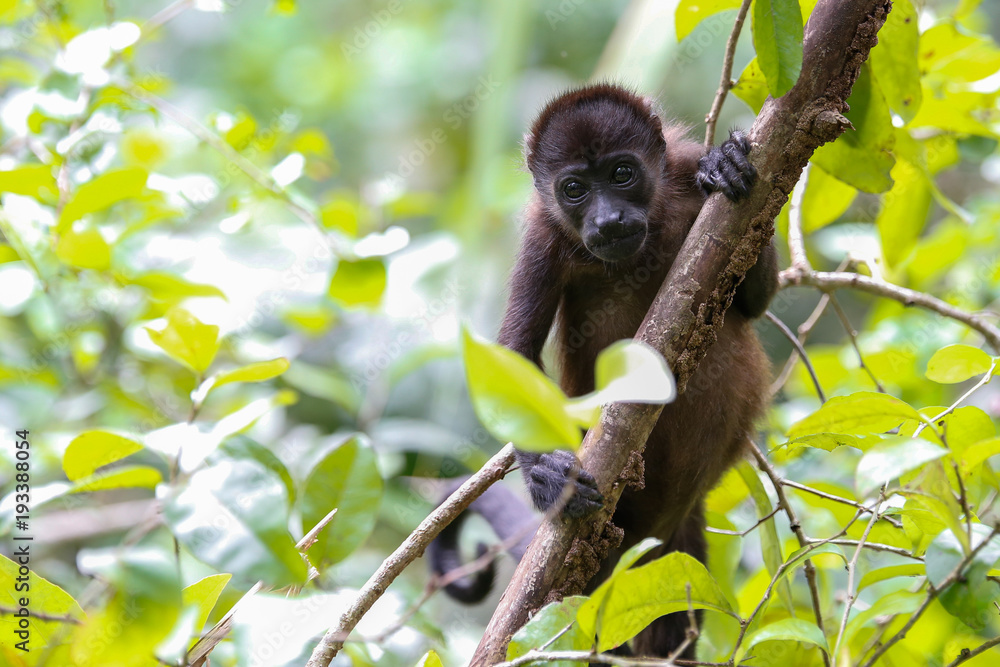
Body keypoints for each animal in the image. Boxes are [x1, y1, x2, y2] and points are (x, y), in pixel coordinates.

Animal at [428, 83, 777, 658]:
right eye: (574, 189)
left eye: (621, 174)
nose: (610, 219)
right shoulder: (540, 238)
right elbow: (514, 355)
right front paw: (548, 480)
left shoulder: (683, 167)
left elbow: (752, 303)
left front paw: (724, 163)